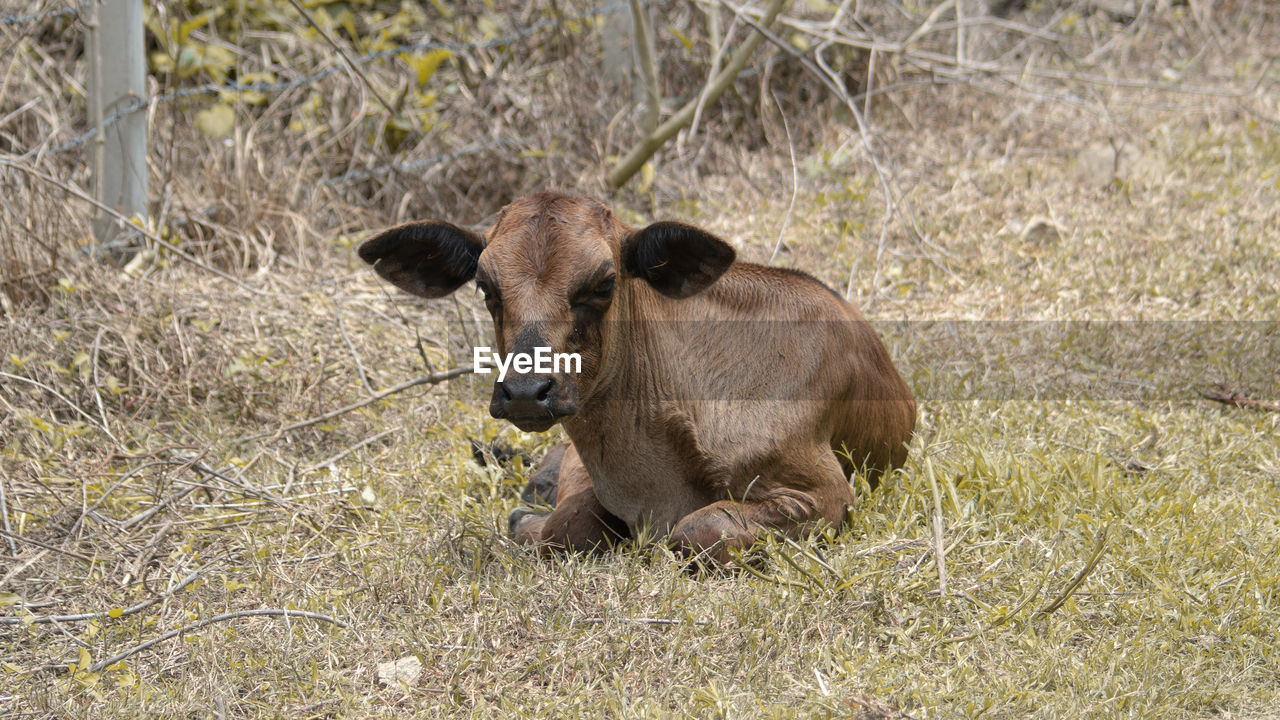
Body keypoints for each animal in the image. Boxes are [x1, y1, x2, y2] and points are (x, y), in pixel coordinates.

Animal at [360, 190, 916, 561]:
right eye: (485, 286)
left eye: (604, 283)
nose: (525, 392)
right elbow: (570, 523)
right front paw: (528, 516)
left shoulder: (827, 494)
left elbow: (701, 530)